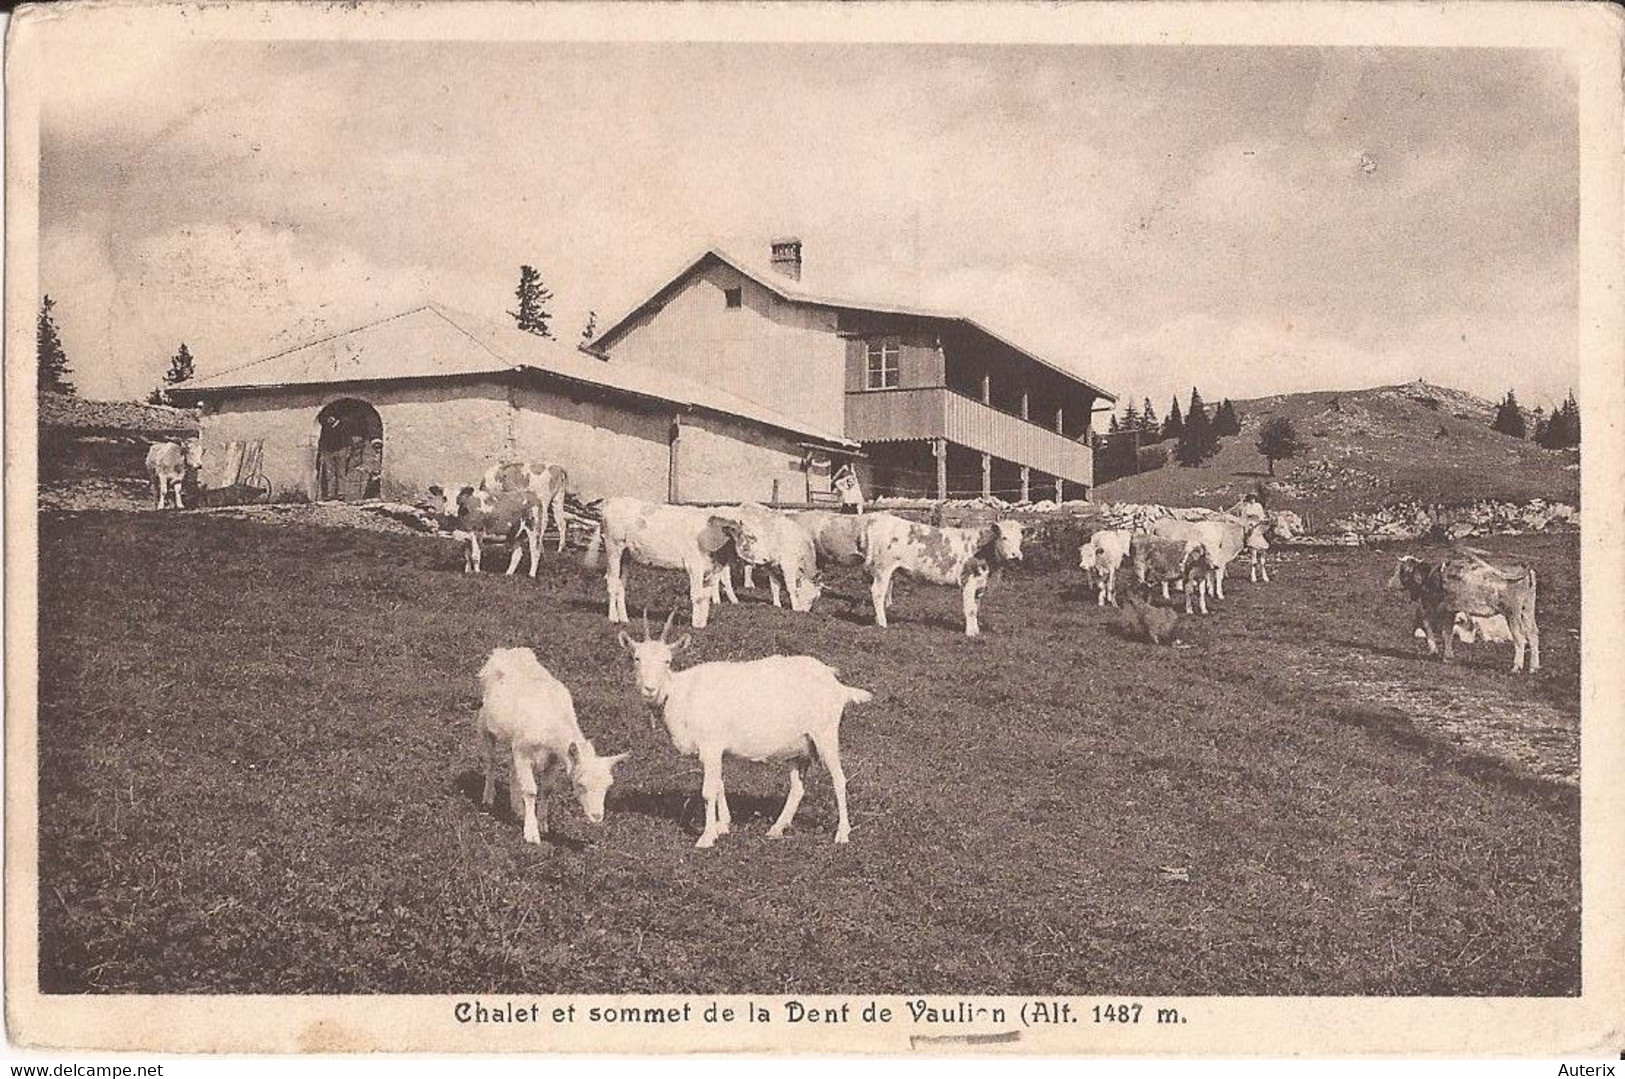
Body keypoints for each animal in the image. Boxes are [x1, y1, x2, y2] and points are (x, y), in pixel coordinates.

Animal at [585, 500, 737, 633]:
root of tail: (611, 502)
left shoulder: (709, 570)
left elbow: (706, 596)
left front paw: (702, 624)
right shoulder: (694, 566)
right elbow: (697, 595)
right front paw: (696, 625)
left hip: (626, 555)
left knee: (620, 585)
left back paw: (624, 619)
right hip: (613, 547)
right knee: (611, 582)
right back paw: (613, 618)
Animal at [620, 611, 877, 845]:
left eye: (667, 660)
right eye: (636, 658)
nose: (649, 688)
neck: (681, 692)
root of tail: (837, 684)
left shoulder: (711, 745)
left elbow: (708, 790)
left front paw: (706, 837)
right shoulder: (714, 750)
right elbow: (719, 784)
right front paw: (722, 825)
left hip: (825, 734)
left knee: (839, 779)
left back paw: (842, 834)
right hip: (800, 746)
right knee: (798, 788)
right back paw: (776, 829)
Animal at [858, 513, 1020, 637]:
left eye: (1020, 539)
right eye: (1004, 537)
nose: (1015, 555)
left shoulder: (980, 585)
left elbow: (975, 608)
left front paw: (976, 631)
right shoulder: (968, 580)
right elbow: (969, 609)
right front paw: (970, 634)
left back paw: (876, 620)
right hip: (883, 568)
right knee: (877, 593)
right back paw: (882, 623)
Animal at [1391, 552, 1540, 669]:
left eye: (1401, 569)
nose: (1391, 583)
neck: (1430, 575)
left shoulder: (1441, 608)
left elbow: (1438, 629)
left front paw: (1438, 652)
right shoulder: (1450, 610)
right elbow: (1445, 632)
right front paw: (1446, 656)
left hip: (1512, 613)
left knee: (1520, 637)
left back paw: (1516, 667)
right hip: (1527, 609)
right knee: (1532, 633)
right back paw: (1534, 667)